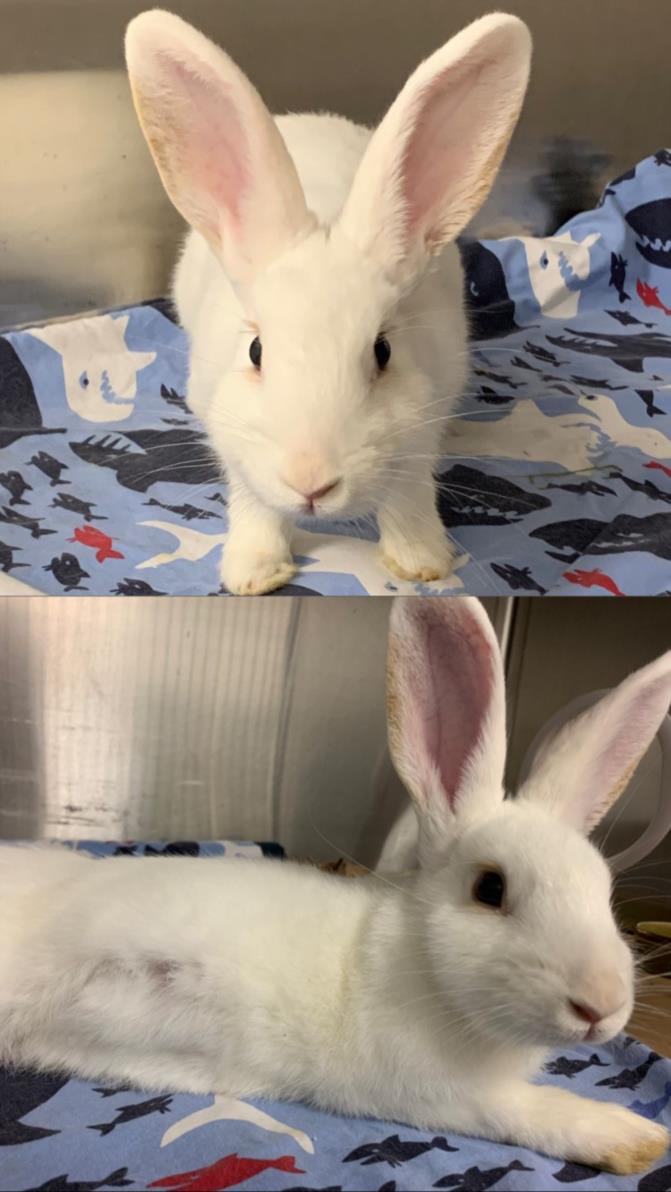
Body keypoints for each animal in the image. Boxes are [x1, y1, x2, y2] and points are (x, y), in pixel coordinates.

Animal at [1, 596, 671, 1172]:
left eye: (605, 893)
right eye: (490, 888)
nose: (602, 1007)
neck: (419, 966)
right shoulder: (443, 1095)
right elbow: (528, 1112)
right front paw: (635, 1141)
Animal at [124, 10, 536, 596]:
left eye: (383, 351)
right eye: (255, 351)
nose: (311, 482)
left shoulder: (421, 428)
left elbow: (409, 498)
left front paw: (421, 561)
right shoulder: (233, 438)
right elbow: (255, 506)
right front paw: (255, 574)